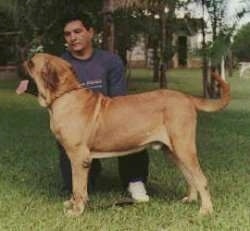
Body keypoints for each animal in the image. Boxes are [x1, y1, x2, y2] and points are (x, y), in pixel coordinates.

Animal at [20, 52, 229, 217]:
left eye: (31, 63)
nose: (19, 63)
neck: (64, 95)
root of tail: (186, 97)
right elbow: (76, 186)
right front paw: (73, 203)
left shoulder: (79, 158)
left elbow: (78, 186)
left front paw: (76, 210)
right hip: (173, 151)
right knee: (190, 177)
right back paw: (190, 200)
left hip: (184, 148)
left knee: (201, 179)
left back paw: (206, 210)